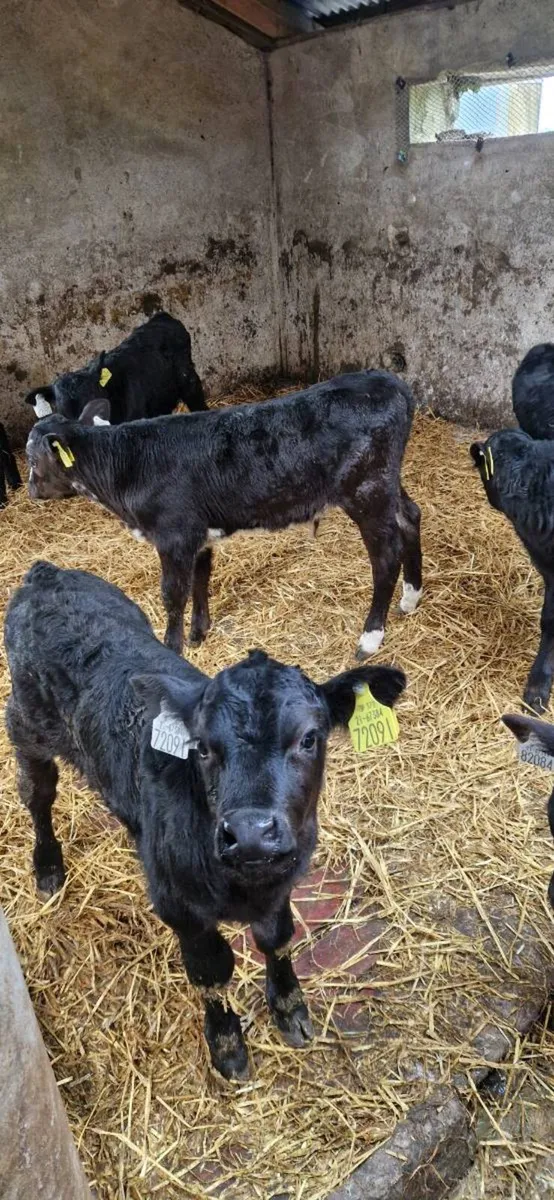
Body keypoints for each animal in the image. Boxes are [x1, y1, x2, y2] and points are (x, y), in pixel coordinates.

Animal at [5, 561, 406, 1079]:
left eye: (309, 738)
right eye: (202, 747)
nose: (252, 834)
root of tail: (46, 573)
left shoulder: (282, 881)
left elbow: (276, 939)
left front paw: (289, 1006)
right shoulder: (180, 906)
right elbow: (212, 973)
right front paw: (227, 1043)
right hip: (26, 726)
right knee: (37, 796)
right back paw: (48, 867)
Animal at [25, 369, 423, 660]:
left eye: (31, 459)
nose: (30, 491)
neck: (128, 465)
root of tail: (389, 382)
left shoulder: (174, 536)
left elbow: (173, 594)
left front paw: (172, 646)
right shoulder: (198, 532)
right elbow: (201, 579)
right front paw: (199, 632)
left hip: (366, 491)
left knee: (385, 556)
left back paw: (370, 637)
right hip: (386, 483)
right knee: (410, 516)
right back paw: (411, 597)